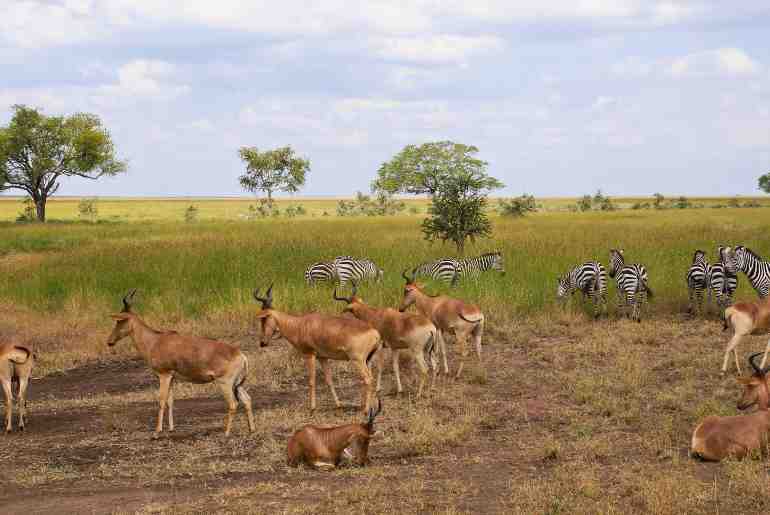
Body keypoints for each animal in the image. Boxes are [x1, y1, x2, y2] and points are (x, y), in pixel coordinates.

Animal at [106, 292, 255, 438]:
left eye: (120, 320)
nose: (110, 342)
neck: (155, 340)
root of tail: (241, 355)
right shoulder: (172, 377)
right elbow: (170, 401)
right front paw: (171, 429)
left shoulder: (164, 375)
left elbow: (161, 400)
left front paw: (157, 432)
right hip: (237, 384)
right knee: (247, 400)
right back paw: (251, 429)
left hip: (225, 383)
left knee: (233, 404)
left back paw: (226, 433)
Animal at [254, 286, 382, 416]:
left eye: (264, 319)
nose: (262, 343)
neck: (300, 324)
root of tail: (375, 333)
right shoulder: (322, 357)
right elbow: (329, 380)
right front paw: (338, 405)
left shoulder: (309, 354)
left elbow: (311, 381)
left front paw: (312, 408)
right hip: (368, 359)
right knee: (369, 378)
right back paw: (365, 406)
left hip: (357, 360)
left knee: (367, 379)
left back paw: (365, 410)